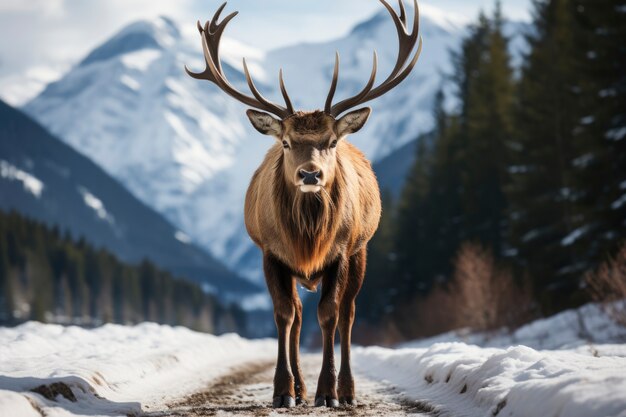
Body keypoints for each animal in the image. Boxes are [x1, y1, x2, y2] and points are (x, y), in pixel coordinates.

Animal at [184, 0, 420, 408]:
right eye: (286, 142)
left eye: (331, 141)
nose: (310, 175)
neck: (309, 236)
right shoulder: (271, 251)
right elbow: (283, 314)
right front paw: (283, 390)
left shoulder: (341, 250)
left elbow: (329, 314)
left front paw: (328, 392)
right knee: (295, 311)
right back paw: (299, 387)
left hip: (361, 252)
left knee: (348, 313)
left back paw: (346, 389)